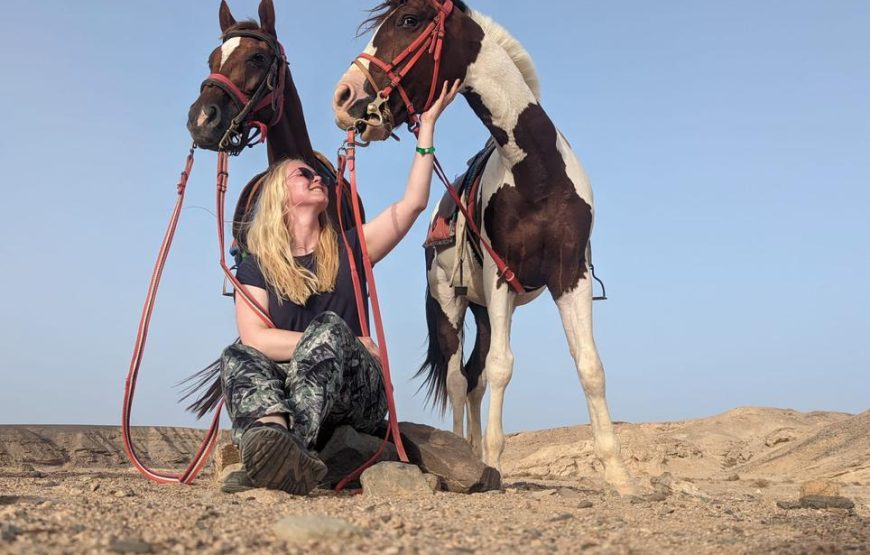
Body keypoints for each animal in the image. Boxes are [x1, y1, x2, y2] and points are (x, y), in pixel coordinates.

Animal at [332, 0, 637, 494]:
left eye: (409, 21)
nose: (343, 97)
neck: (538, 172)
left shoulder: (570, 275)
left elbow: (590, 366)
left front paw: (619, 476)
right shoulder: (501, 278)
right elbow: (501, 368)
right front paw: (493, 464)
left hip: (486, 312)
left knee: (473, 378)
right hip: (452, 305)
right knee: (460, 379)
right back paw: (462, 454)